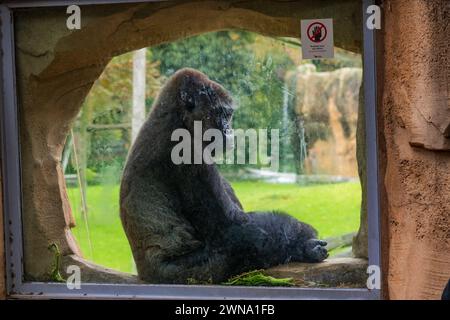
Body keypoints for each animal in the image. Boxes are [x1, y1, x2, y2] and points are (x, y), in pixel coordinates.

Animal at [118, 67, 326, 282]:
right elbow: (231, 227)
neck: (176, 117)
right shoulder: (188, 151)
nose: (228, 130)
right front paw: (302, 237)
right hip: (181, 275)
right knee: (242, 240)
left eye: (228, 115)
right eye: (221, 113)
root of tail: (144, 274)